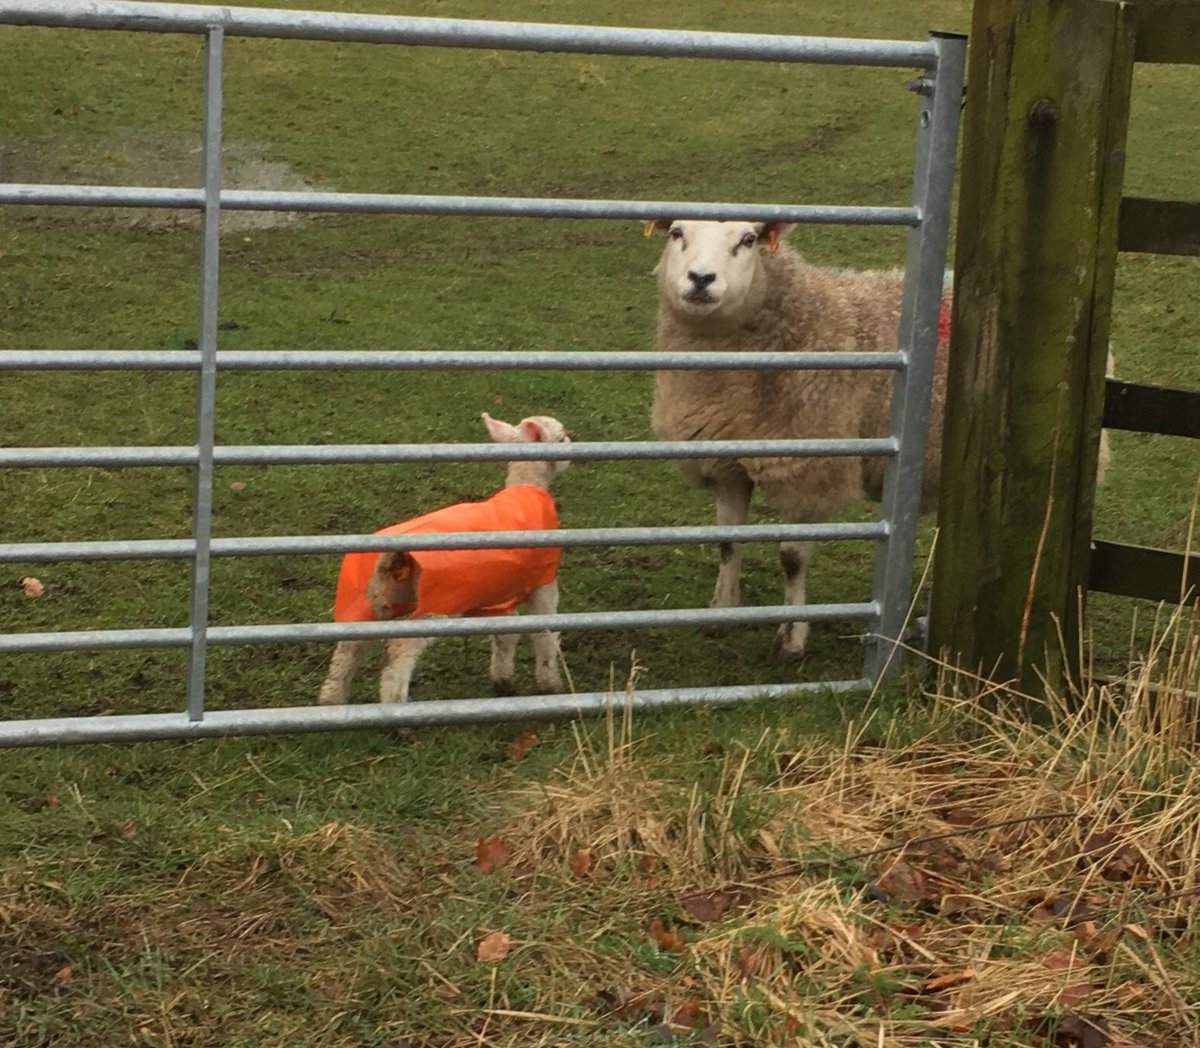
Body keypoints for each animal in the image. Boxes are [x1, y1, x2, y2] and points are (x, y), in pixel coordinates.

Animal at [317, 412, 570, 705]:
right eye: (561, 438)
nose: (572, 440)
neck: (527, 487)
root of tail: (391, 554)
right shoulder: (543, 582)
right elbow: (545, 632)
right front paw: (550, 685)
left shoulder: (498, 591)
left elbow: (505, 635)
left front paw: (503, 681)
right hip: (436, 604)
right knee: (399, 649)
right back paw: (396, 706)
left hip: (367, 597)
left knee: (349, 647)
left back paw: (331, 700)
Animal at [647, 219, 953, 657]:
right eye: (675, 232)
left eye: (749, 240)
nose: (701, 278)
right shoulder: (727, 465)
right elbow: (728, 544)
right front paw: (721, 613)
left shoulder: (808, 469)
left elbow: (791, 557)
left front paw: (791, 637)